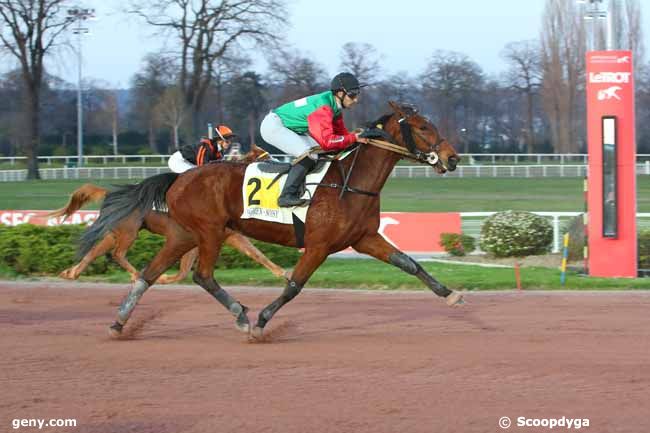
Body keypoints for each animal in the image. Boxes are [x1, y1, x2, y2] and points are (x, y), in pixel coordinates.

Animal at [54, 143, 288, 282]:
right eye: (266, 158)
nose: (281, 165)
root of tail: (111, 192)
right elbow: (184, 271)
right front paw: (163, 277)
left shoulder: (226, 235)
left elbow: (256, 253)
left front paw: (283, 273)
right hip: (129, 231)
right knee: (117, 254)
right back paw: (136, 274)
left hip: (116, 231)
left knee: (96, 250)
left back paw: (71, 272)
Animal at [85, 101, 460, 338]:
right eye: (423, 126)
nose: (452, 158)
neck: (351, 182)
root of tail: (180, 179)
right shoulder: (319, 245)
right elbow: (294, 285)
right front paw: (262, 322)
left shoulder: (364, 238)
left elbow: (409, 263)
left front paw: (450, 294)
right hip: (210, 231)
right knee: (202, 275)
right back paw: (240, 314)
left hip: (184, 234)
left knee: (148, 274)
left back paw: (119, 323)